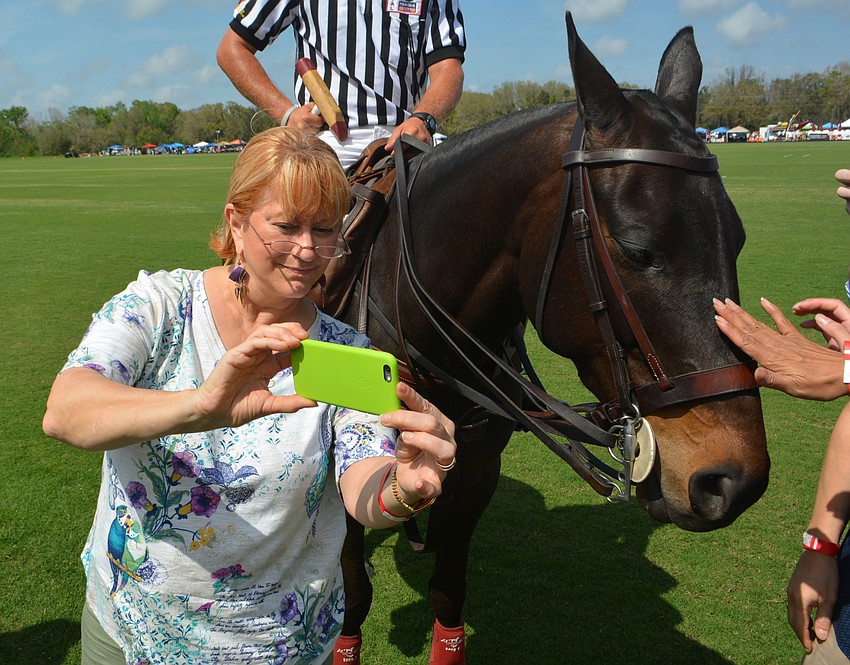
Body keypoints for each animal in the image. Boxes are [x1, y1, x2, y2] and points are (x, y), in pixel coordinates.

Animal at [331, 13, 769, 664]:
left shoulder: (477, 473)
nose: (733, 482)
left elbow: (447, 593)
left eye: (737, 239)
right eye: (638, 249)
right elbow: (352, 595)